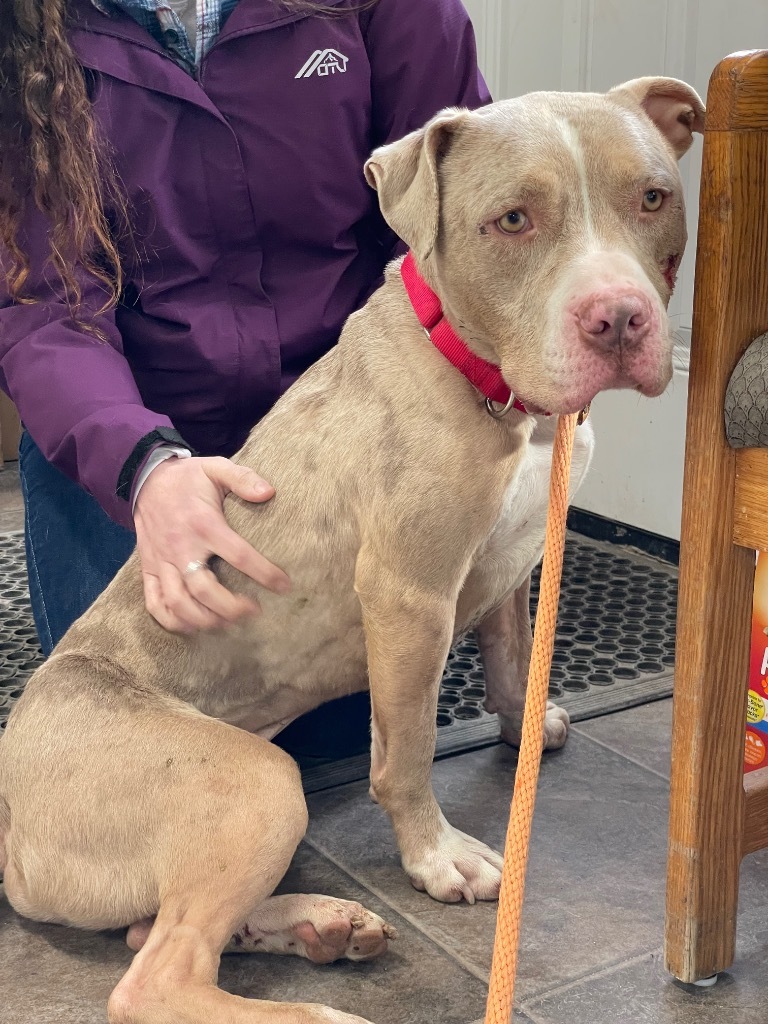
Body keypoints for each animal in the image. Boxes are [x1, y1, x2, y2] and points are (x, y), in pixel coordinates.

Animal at [0, 77, 708, 1024]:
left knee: (148, 932)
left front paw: (527, 727)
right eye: (512, 220)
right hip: (255, 783)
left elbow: (513, 658)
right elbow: (405, 752)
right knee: (154, 979)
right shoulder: (411, 596)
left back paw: (318, 927)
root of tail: (10, 820)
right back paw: (318, 1009)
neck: (491, 389)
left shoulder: (512, 563)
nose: (619, 317)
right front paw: (438, 858)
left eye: (654, 198)